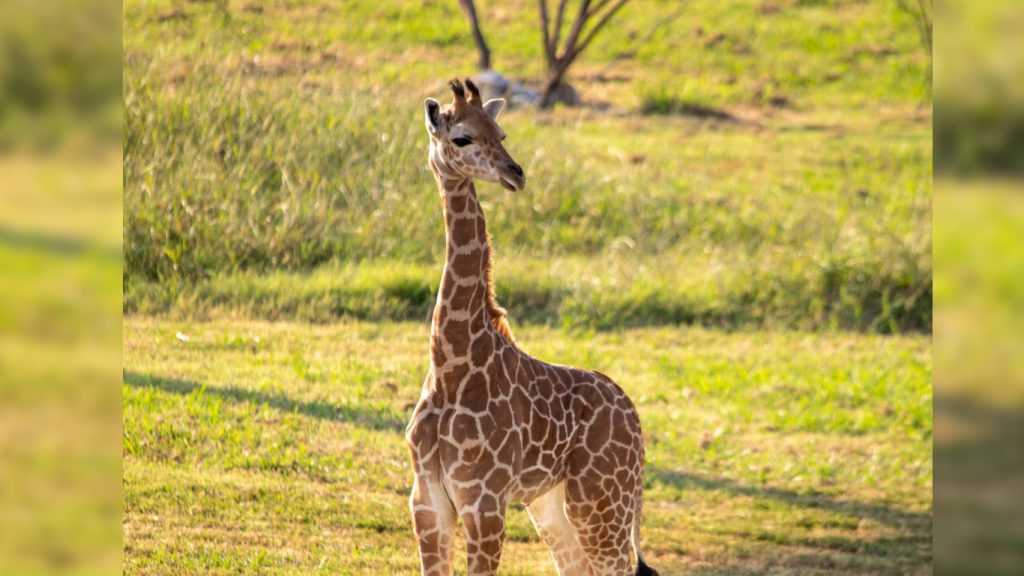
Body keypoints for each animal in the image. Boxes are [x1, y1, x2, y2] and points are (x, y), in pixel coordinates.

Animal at [405, 78, 658, 576]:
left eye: (501, 132)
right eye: (461, 138)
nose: (515, 173)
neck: (451, 365)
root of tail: (634, 416)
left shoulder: (484, 503)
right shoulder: (427, 500)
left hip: (602, 502)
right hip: (552, 504)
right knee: (576, 566)